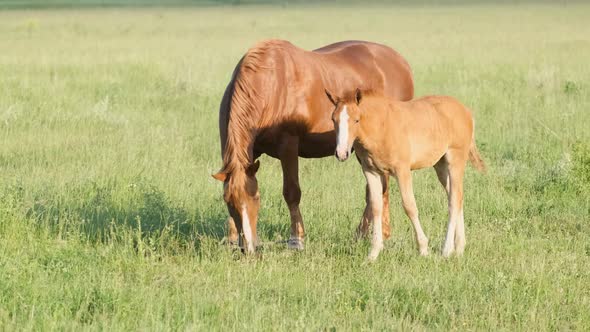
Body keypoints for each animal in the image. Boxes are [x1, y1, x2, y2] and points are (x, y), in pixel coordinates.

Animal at [214, 38, 416, 252]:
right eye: (228, 202)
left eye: (257, 198)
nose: (249, 248)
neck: (270, 86)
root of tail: (401, 62)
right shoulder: (249, 154)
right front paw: (231, 239)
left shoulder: (288, 146)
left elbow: (292, 192)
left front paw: (296, 239)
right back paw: (362, 235)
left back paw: (381, 234)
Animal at [328, 89, 486, 260]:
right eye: (333, 120)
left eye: (356, 120)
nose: (341, 153)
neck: (381, 127)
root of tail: (466, 111)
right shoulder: (371, 171)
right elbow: (375, 207)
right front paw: (373, 254)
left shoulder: (402, 170)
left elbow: (409, 206)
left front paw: (423, 249)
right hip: (441, 165)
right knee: (456, 195)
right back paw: (459, 248)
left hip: (455, 160)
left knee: (454, 200)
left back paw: (446, 250)